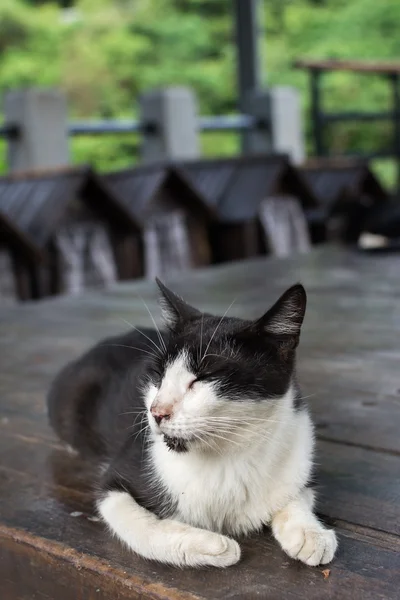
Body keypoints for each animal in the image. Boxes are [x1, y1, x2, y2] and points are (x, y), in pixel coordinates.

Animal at [48, 278, 340, 568]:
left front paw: (310, 533)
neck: (228, 457)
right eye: (158, 375)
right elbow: (139, 525)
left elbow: (299, 492)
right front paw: (212, 546)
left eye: (204, 377)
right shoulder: (116, 480)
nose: (157, 411)